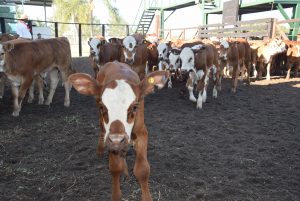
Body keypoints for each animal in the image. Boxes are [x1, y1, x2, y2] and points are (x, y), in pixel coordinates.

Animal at [68, 61, 171, 201]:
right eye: (102, 107)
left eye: (134, 107)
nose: (116, 139)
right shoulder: (111, 140)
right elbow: (115, 168)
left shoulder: (141, 132)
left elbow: (142, 170)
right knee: (102, 131)